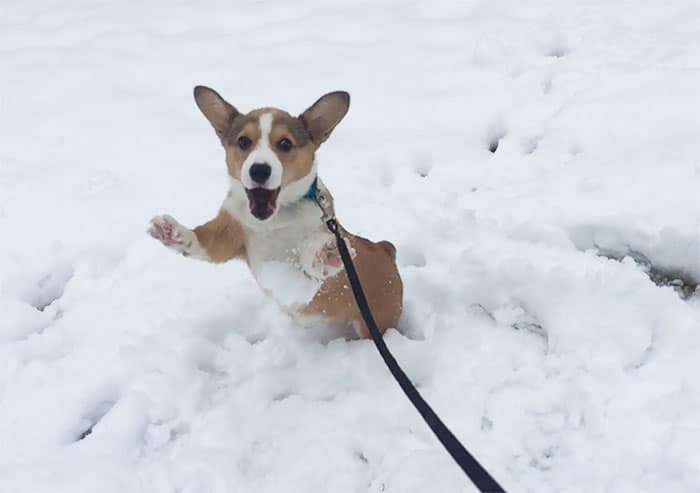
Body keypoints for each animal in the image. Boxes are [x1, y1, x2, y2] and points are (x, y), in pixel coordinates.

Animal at [149, 86, 400, 336]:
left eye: (285, 144)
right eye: (243, 141)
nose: (259, 170)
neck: (272, 221)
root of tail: (386, 249)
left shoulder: (311, 280)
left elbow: (307, 272)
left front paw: (325, 256)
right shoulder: (231, 231)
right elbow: (203, 241)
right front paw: (171, 231)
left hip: (375, 320)